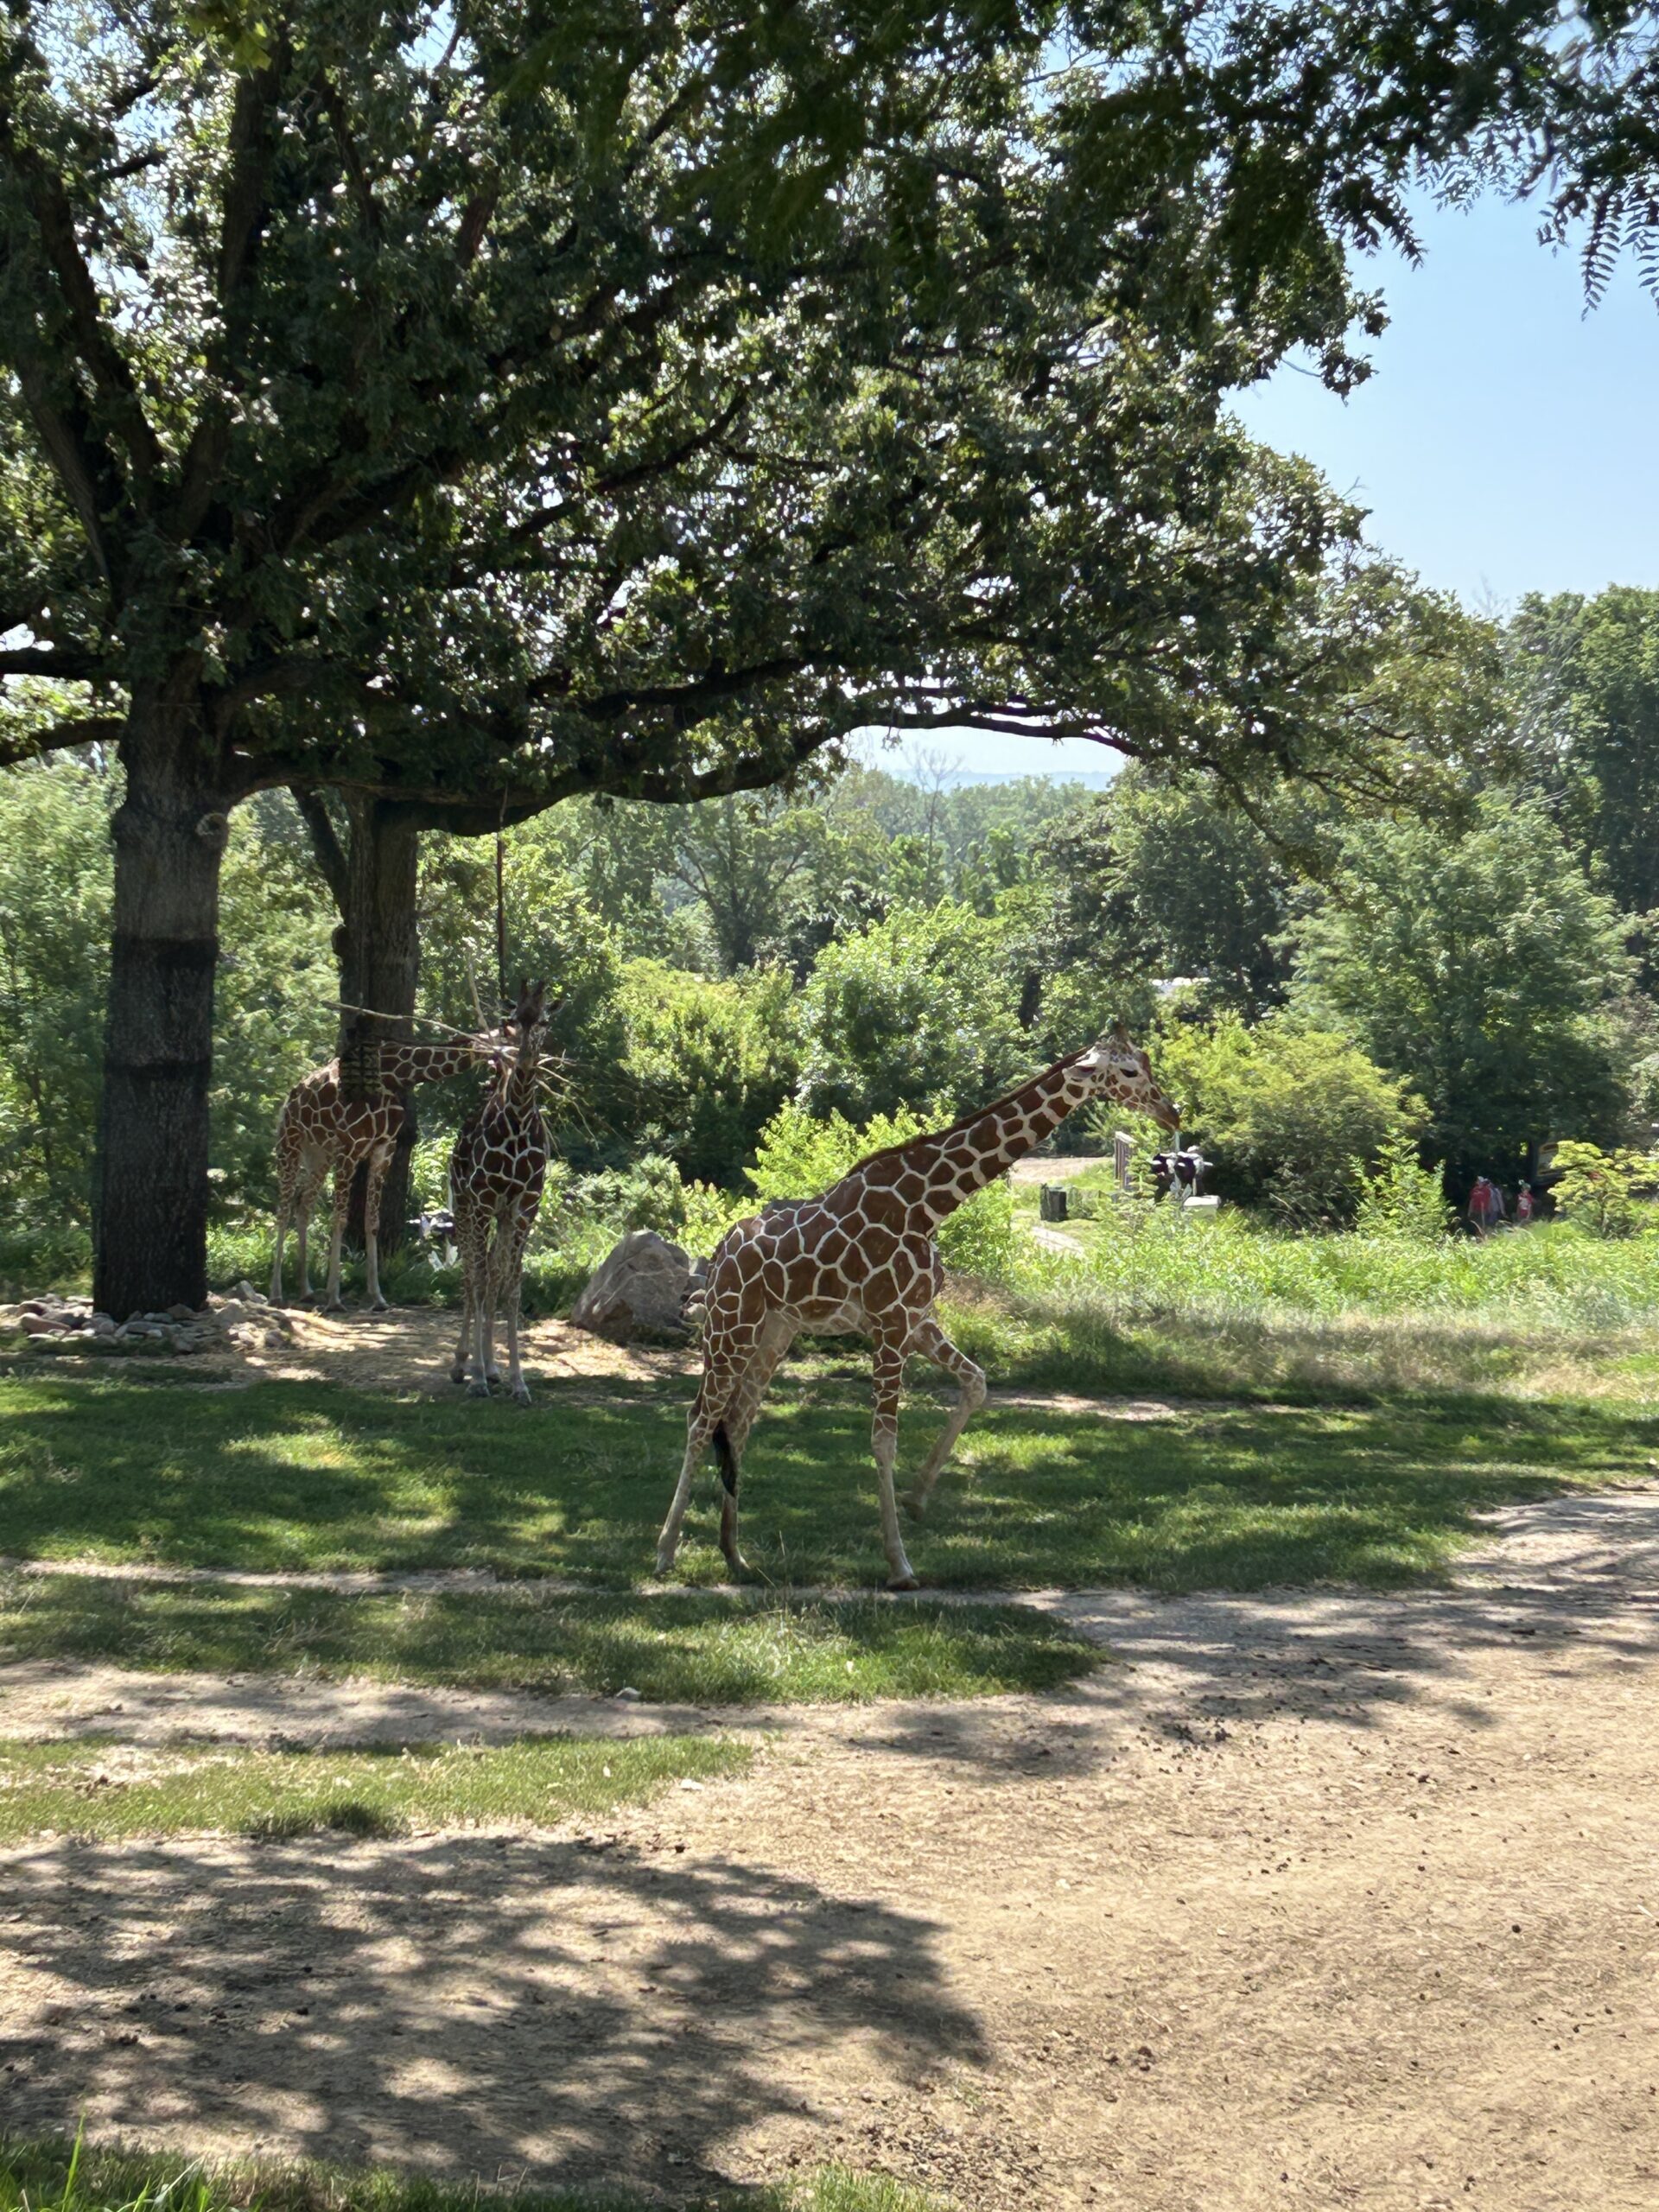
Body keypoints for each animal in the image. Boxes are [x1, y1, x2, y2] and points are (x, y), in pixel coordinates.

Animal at [270, 1024, 500, 1312]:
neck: (394, 1075)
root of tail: (290, 1099)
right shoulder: (349, 1146)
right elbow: (340, 1218)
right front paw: (334, 1298)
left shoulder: (382, 1149)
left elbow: (372, 1221)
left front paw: (377, 1297)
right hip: (290, 1143)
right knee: (283, 1209)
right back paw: (277, 1293)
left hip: (319, 1154)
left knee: (304, 1202)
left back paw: (307, 1290)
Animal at [656, 1024, 1181, 1589]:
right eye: (1128, 1071)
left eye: (1147, 1060)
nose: (1171, 1113)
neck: (927, 1205)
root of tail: (719, 1253)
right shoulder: (889, 1323)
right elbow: (884, 1439)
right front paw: (900, 1564)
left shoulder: (917, 1319)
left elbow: (976, 1384)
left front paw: (916, 1498)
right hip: (729, 1326)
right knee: (700, 1418)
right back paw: (665, 1552)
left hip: (774, 1332)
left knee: (737, 1422)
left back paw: (734, 1554)